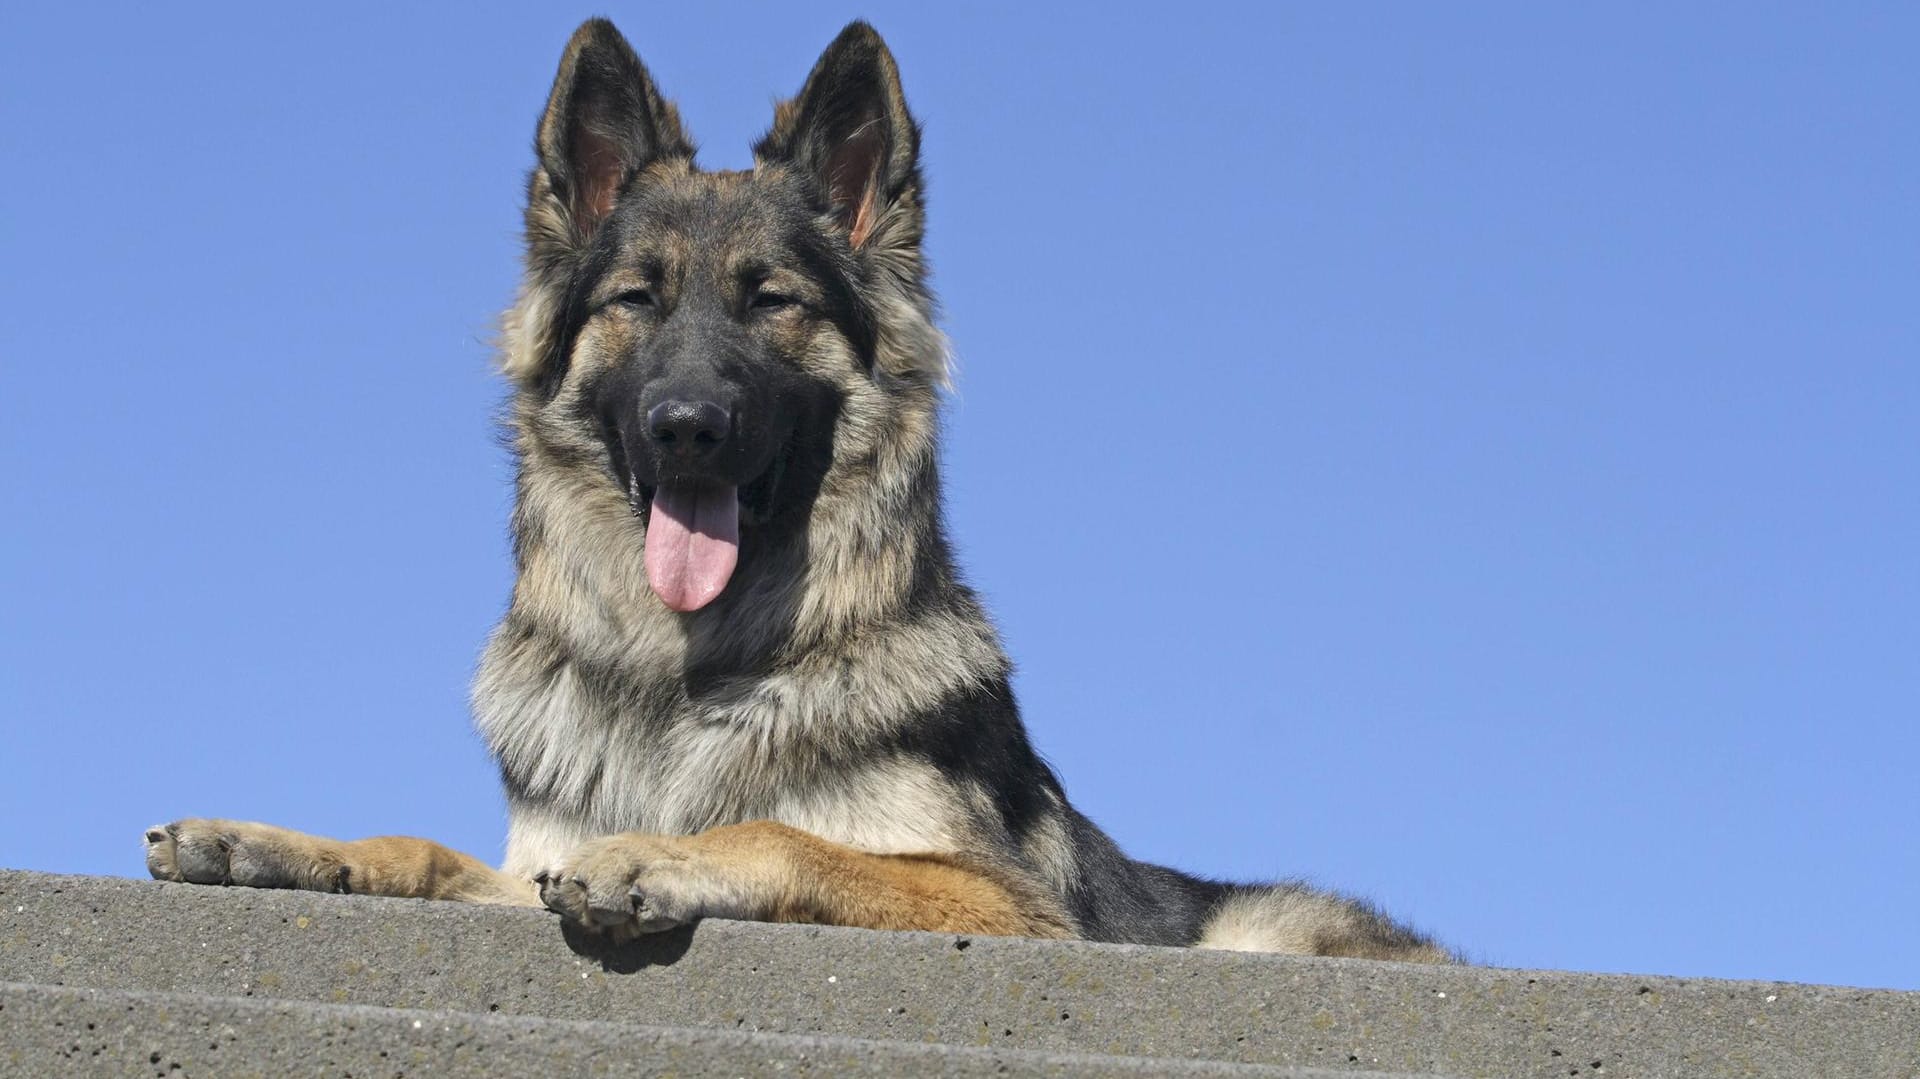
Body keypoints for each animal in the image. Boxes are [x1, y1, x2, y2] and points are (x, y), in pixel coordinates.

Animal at [142, 16, 1443, 956]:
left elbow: (790, 833)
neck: (686, 680)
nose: (686, 429)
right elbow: (429, 850)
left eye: (773, 301)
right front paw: (268, 842)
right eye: (638, 299)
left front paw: (656, 855)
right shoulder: (524, 866)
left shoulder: (1010, 907)